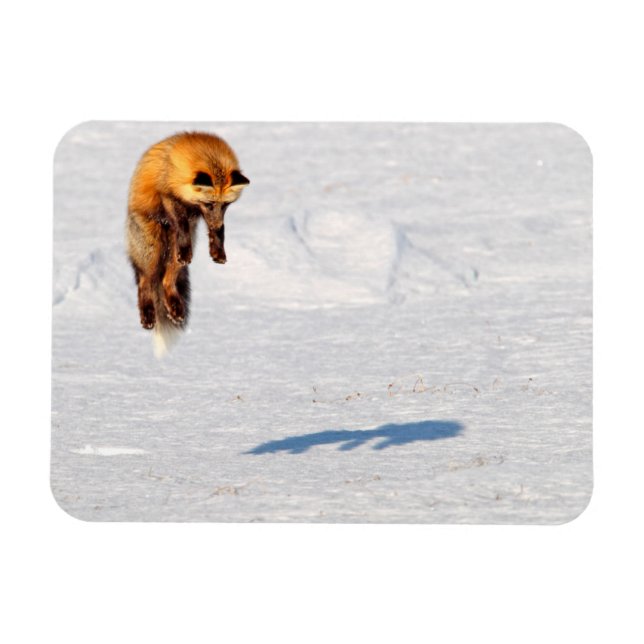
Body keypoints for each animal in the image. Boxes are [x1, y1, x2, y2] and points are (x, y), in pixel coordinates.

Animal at [126, 131, 249, 357]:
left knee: (167, 280)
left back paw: (175, 307)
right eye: (210, 203)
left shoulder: (200, 214)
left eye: (226, 205)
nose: (216, 222)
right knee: (145, 282)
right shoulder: (169, 196)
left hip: (174, 256)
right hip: (152, 249)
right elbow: (181, 223)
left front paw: (218, 250)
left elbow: (218, 233)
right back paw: (148, 314)